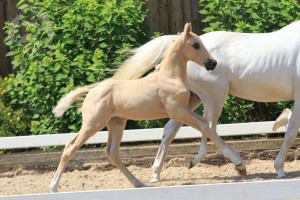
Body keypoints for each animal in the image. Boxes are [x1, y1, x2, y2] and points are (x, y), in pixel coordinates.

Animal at [49, 23, 244, 192]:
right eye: (196, 45)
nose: (212, 63)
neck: (169, 76)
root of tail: (91, 92)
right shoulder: (177, 111)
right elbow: (205, 125)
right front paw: (238, 163)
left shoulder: (183, 110)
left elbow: (206, 124)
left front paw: (238, 165)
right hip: (93, 124)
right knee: (70, 147)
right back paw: (53, 187)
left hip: (116, 123)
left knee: (112, 153)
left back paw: (139, 183)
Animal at [150, 20, 300, 181]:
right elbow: (291, 132)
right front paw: (280, 169)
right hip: (214, 97)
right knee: (208, 127)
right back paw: (238, 164)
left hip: (189, 100)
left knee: (171, 130)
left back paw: (157, 174)